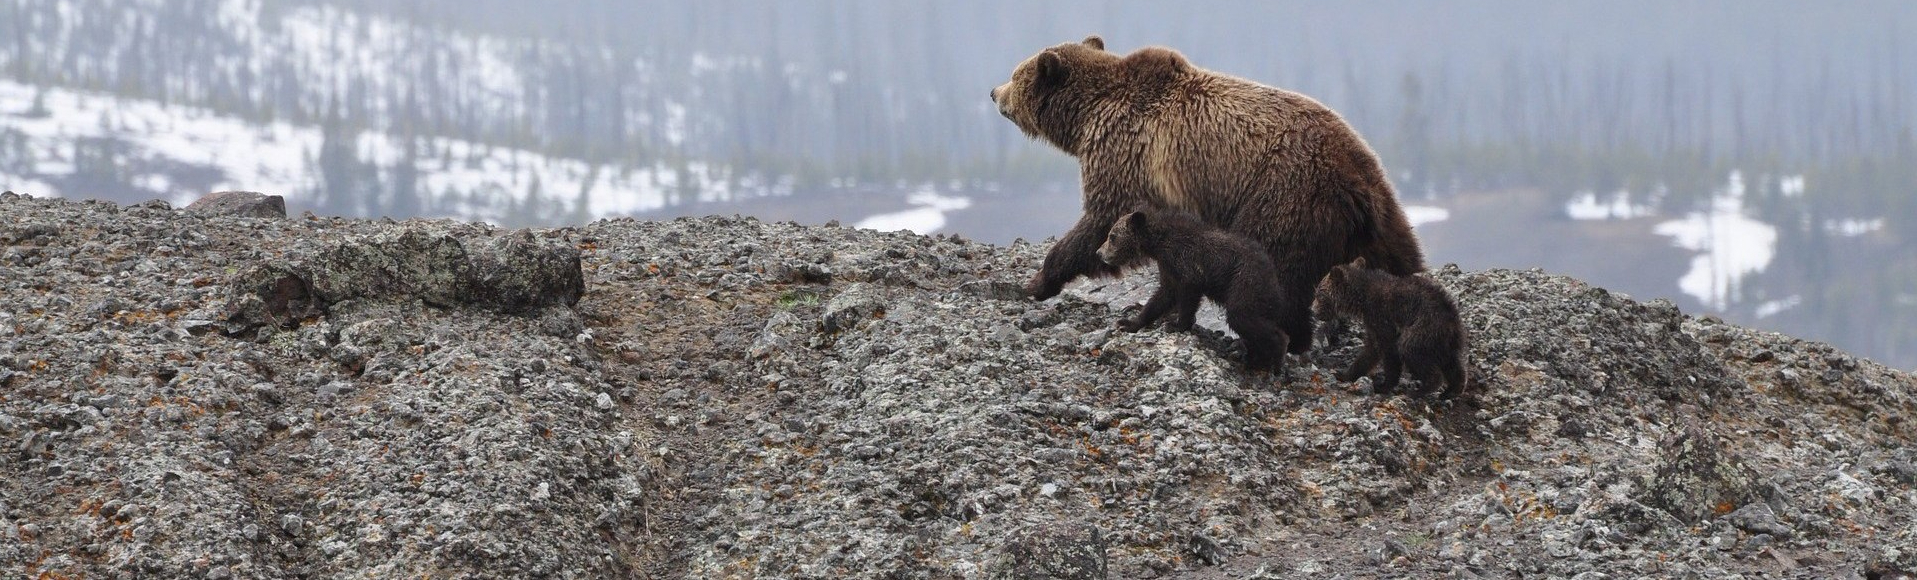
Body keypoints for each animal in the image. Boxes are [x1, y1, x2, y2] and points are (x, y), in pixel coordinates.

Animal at [1004, 36, 1426, 356]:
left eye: (1014, 74)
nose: (995, 93)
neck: (1087, 116)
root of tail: (1358, 181)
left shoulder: (1124, 153)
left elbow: (1101, 219)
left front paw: (1039, 280)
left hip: (1285, 195)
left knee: (1279, 270)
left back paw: (1276, 340)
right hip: (1382, 214)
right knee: (1401, 260)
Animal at [1096, 208, 1288, 377]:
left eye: (1112, 236)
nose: (1099, 253)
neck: (1158, 242)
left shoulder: (1186, 262)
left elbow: (1187, 293)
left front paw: (1176, 325)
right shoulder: (1167, 266)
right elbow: (1163, 296)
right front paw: (1128, 322)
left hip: (1245, 282)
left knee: (1242, 316)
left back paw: (1275, 359)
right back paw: (1252, 358)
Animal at [1318, 260, 1464, 400]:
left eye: (1319, 293)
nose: (1315, 311)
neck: (1361, 298)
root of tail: (1452, 321)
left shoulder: (1381, 316)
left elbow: (1387, 349)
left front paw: (1383, 385)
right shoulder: (1372, 322)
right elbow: (1371, 350)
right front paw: (1344, 374)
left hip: (1423, 328)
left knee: (1410, 349)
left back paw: (1417, 391)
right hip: (1446, 342)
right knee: (1453, 364)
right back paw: (1451, 391)